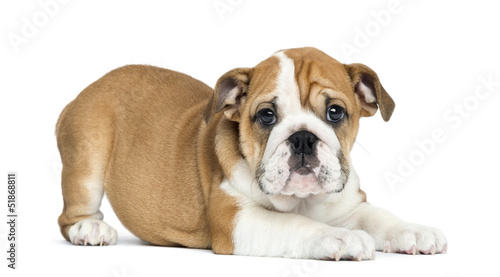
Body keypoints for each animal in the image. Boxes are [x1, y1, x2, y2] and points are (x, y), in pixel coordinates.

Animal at [56, 46, 448, 260]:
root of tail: (83, 92)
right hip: (87, 159)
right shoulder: (236, 219)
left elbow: (377, 217)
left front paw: (413, 231)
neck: (302, 201)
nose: (303, 138)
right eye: (267, 115)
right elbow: (295, 224)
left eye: (335, 112)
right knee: (71, 214)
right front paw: (340, 238)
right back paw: (90, 228)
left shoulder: (348, 205)